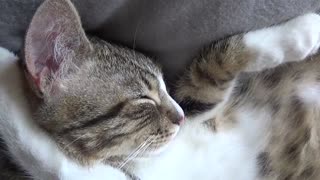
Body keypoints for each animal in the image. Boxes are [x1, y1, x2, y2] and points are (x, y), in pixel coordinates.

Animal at [1, 0, 320, 180]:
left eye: (165, 87)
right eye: (143, 98)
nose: (179, 116)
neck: (150, 162)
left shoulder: (198, 108)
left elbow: (210, 67)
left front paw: (302, 31)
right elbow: (54, 161)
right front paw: (8, 84)